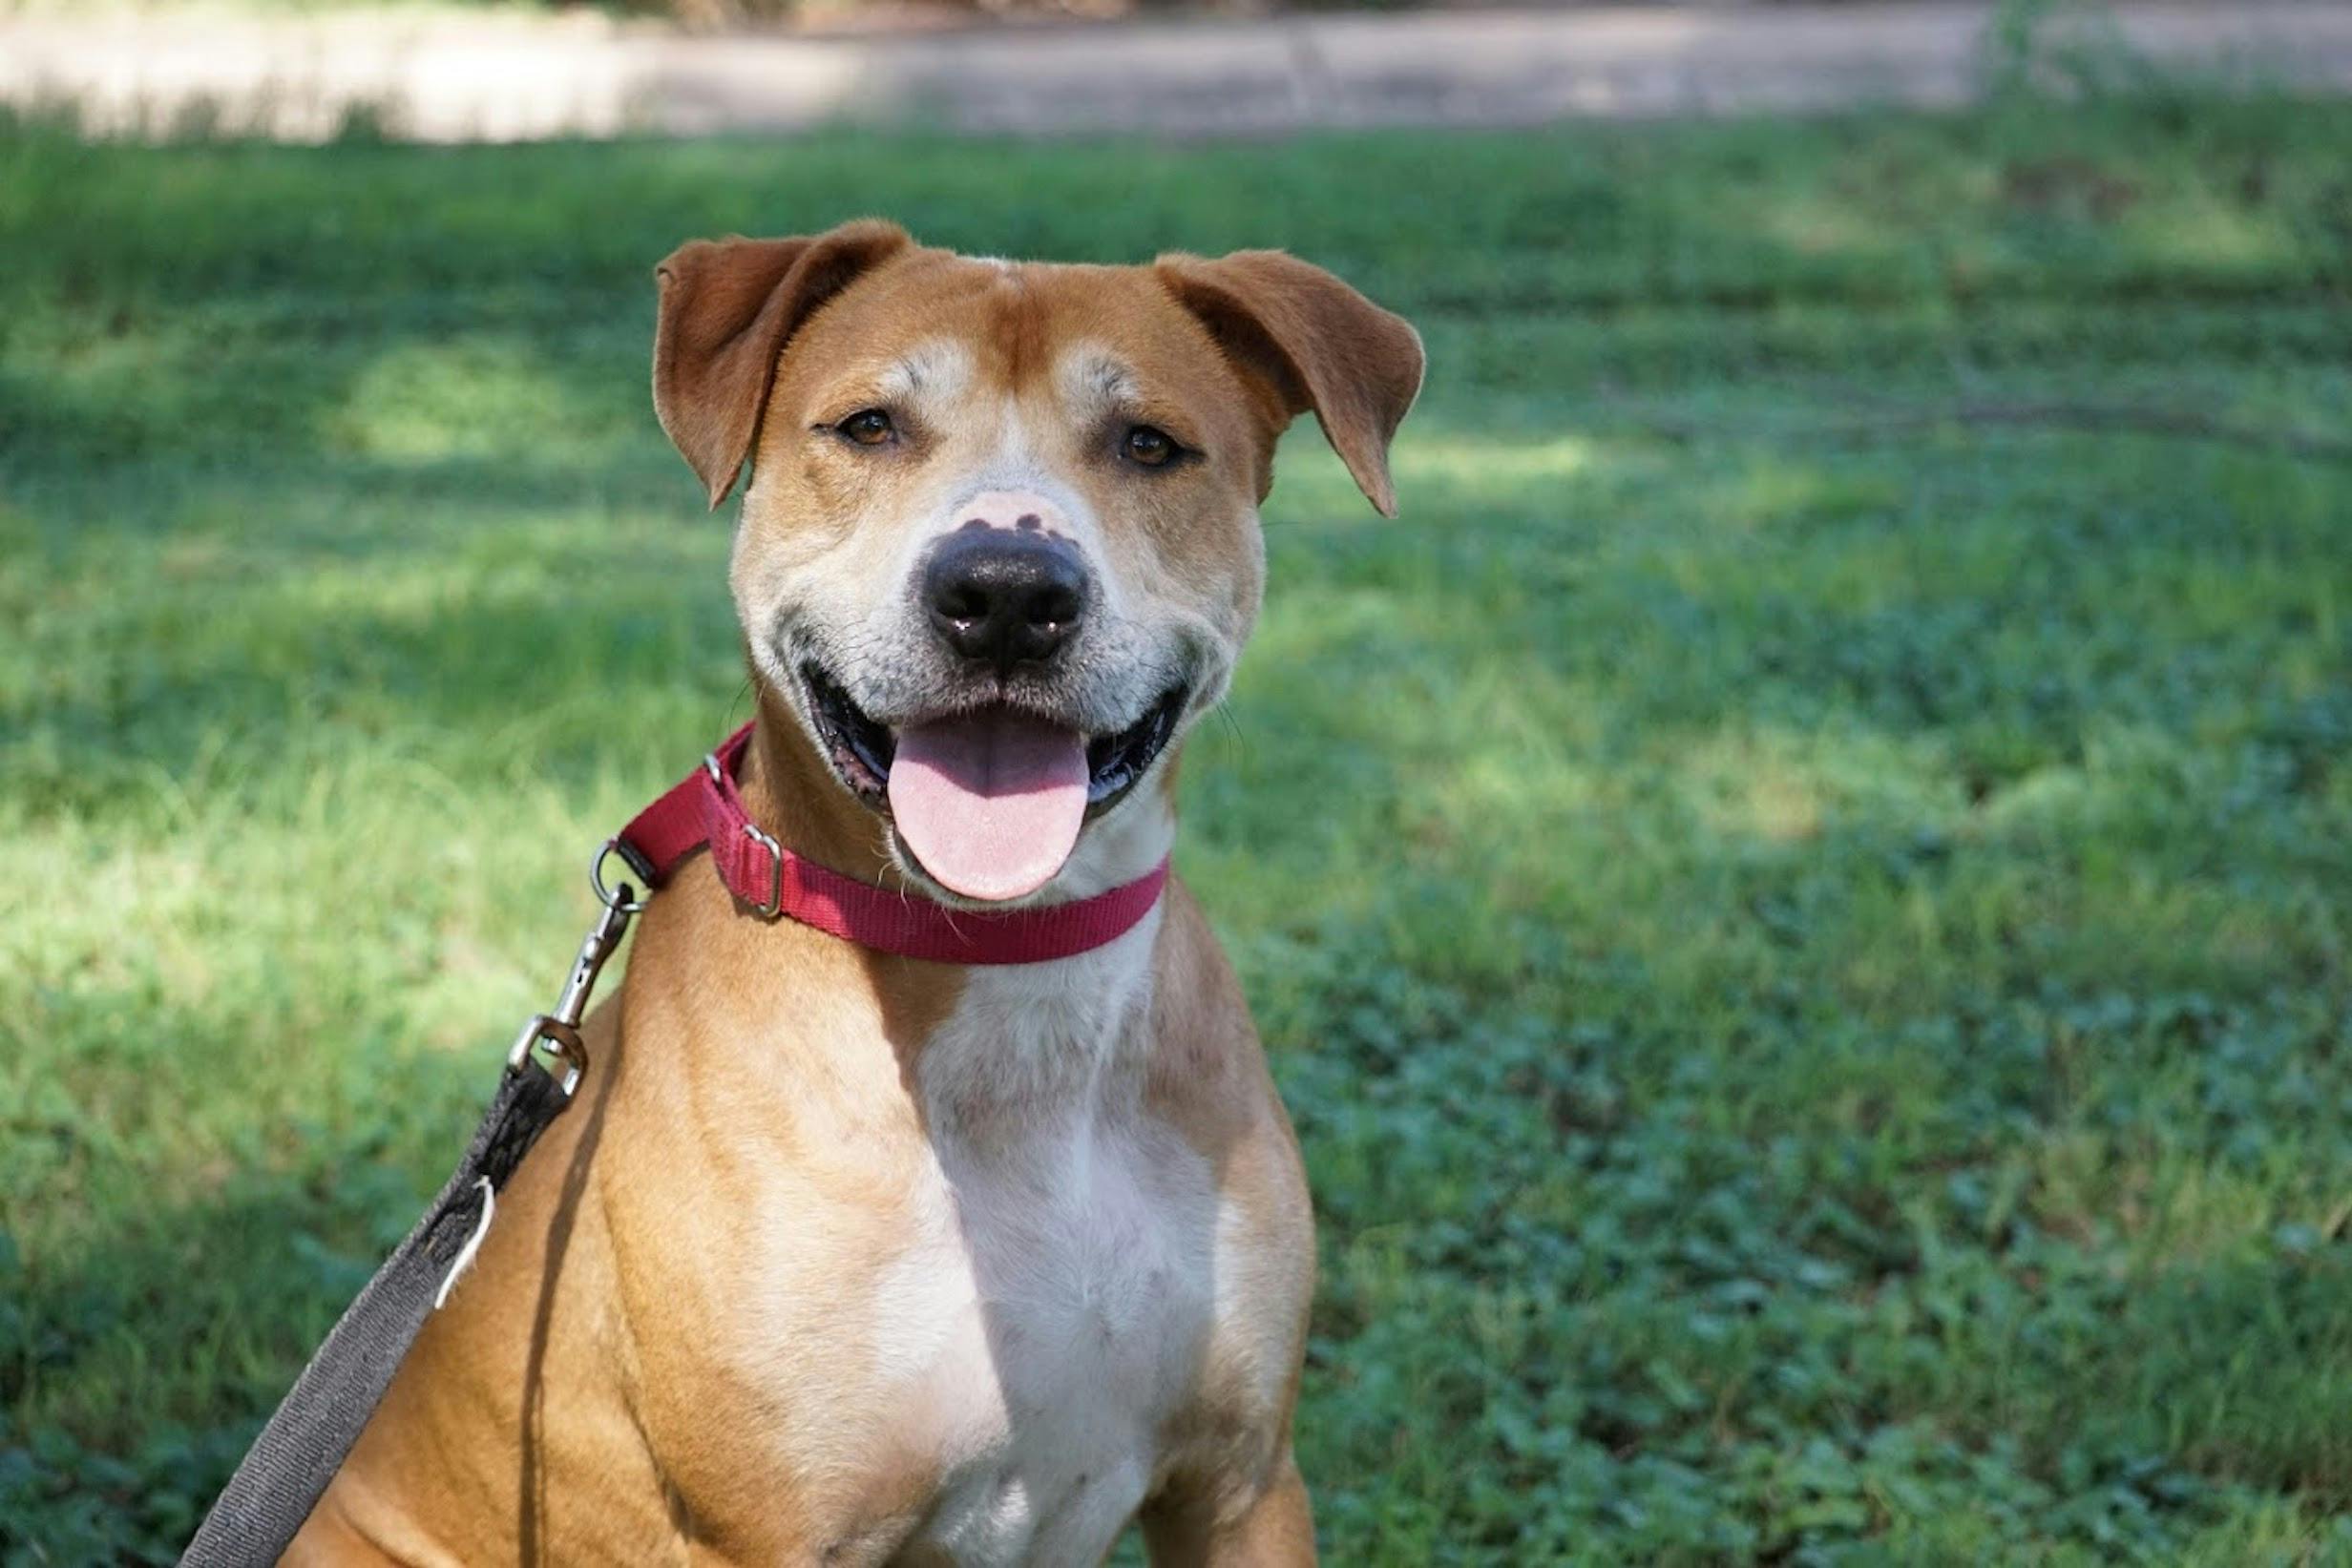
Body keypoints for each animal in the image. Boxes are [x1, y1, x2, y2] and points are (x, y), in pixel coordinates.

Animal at [289, 220, 1430, 1568]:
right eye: (870, 426)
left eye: (1149, 443)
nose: (1006, 588)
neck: (1004, 977)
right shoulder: (771, 1534)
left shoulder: (1242, 1483)